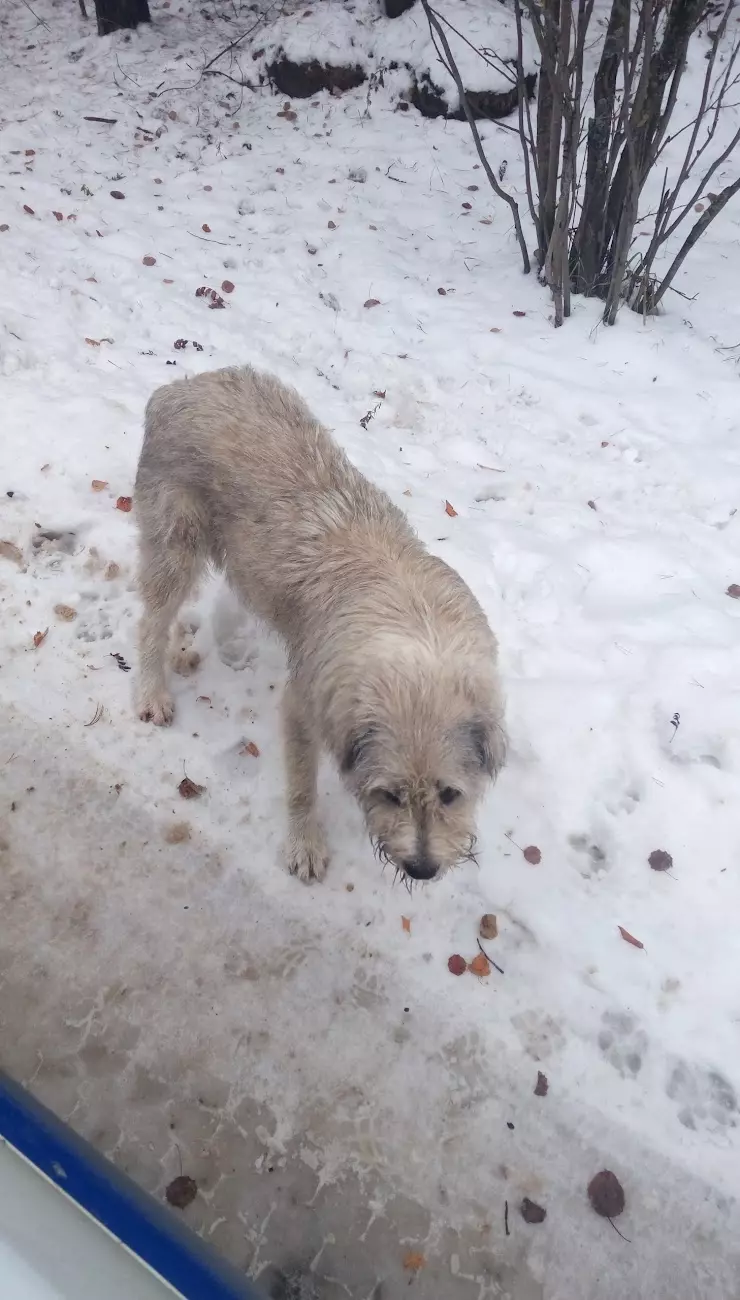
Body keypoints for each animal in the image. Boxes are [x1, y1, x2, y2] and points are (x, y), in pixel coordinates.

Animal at [132, 366, 504, 883]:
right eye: (391, 795)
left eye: (449, 793)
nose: (422, 869)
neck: (416, 640)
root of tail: (176, 388)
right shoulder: (304, 706)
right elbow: (302, 787)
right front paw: (304, 845)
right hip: (176, 545)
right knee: (151, 622)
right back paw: (152, 692)